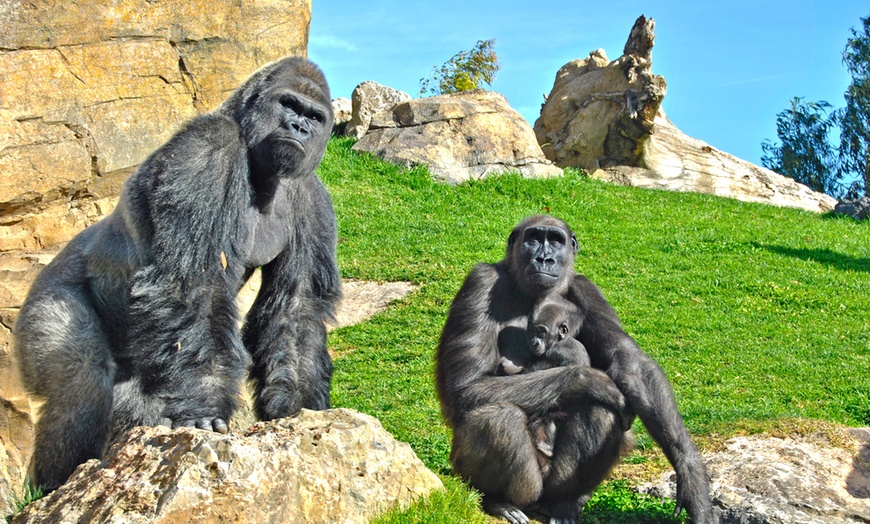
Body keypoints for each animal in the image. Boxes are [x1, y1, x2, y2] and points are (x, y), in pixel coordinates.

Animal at [14, 57, 340, 492]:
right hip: (45, 296)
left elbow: (296, 306)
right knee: (81, 384)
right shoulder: (205, 149)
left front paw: (297, 406)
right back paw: (54, 486)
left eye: (315, 117)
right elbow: (193, 284)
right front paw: (205, 406)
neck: (261, 168)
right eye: (288, 105)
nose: (299, 127)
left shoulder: (311, 197)